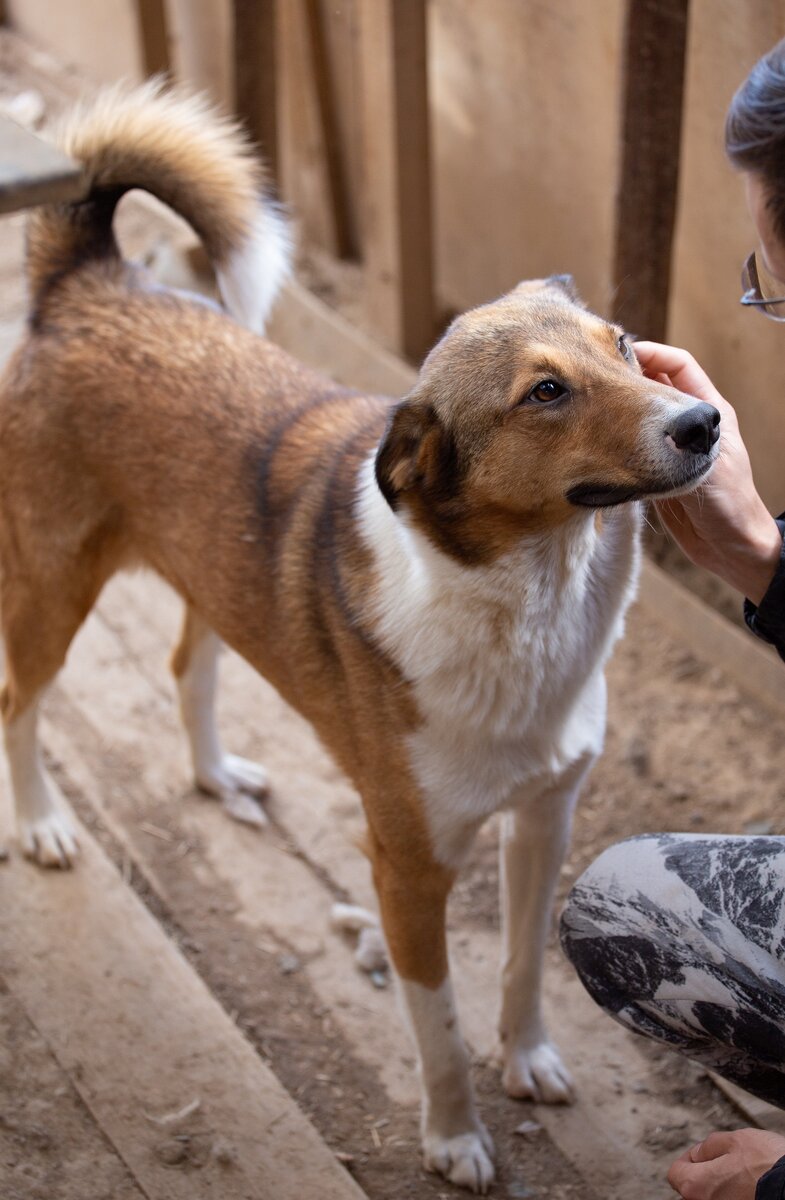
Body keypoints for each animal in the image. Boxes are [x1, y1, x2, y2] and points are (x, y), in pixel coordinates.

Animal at [0, 87, 724, 1190]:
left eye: (623, 342)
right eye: (543, 392)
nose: (702, 423)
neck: (530, 599)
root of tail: (89, 281)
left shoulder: (544, 820)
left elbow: (519, 968)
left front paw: (528, 1060)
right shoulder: (406, 871)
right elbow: (438, 1029)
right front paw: (454, 1139)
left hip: (208, 574)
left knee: (185, 665)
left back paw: (215, 774)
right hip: (52, 586)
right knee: (19, 702)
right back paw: (41, 825)